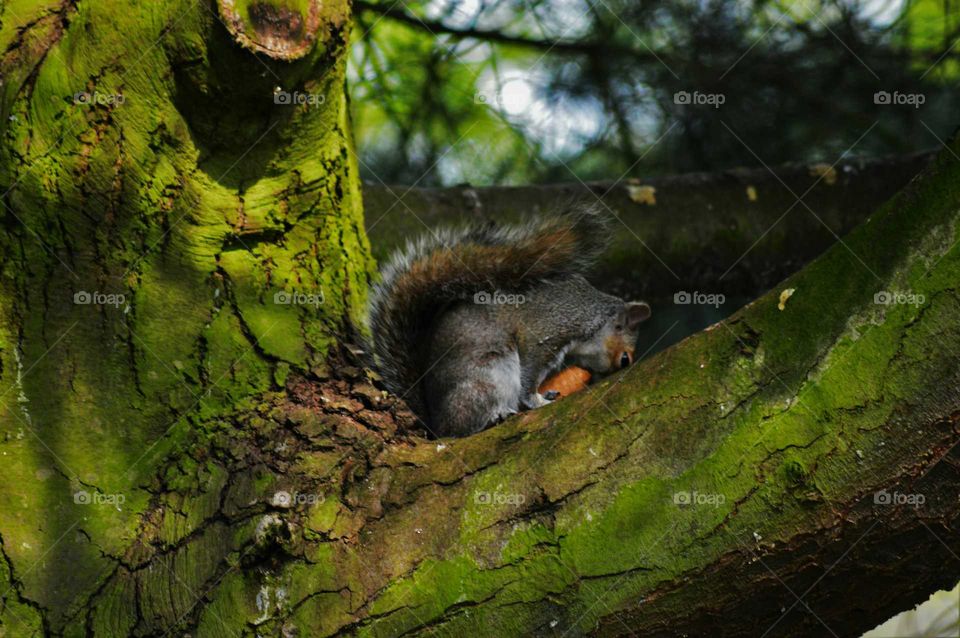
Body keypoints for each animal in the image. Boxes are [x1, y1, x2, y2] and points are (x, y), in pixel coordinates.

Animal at [368, 206, 652, 440]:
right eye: (624, 359)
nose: (605, 377)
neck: (592, 316)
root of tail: (434, 424)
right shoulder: (547, 332)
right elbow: (529, 375)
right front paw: (537, 401)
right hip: (487, 379)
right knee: (463, 429)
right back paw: (495, 417)